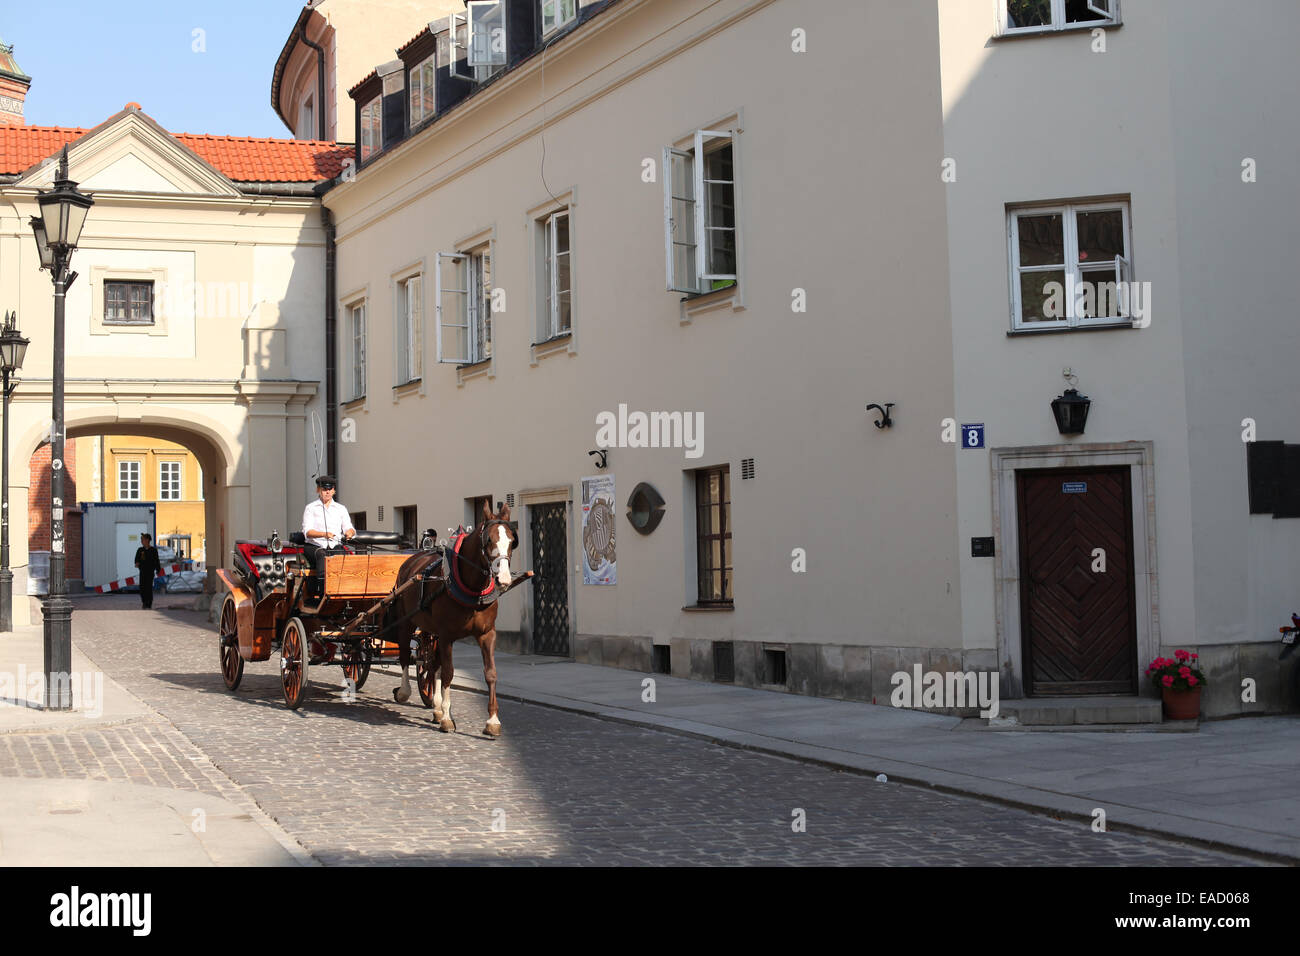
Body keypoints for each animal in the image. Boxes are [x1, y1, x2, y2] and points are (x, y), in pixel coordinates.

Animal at [390, 496, 517, 738]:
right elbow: (448, 673)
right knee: (404, 655)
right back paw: (404, 691)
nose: (504, 579)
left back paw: (437, 707)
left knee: (431, 664)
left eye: (512, 541)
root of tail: (412, 558)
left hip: (430, 630)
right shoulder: (447, 635)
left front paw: (492, 721)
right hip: (406, 622)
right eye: (489, 540)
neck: (472, 588)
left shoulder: (487, 634)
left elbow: (490, 673)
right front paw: (448, 719)